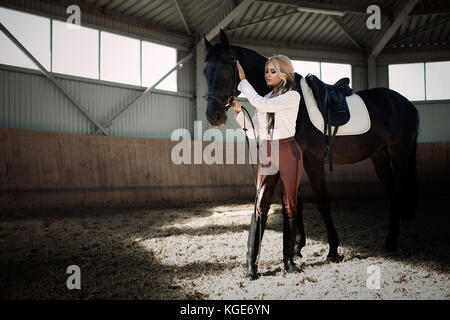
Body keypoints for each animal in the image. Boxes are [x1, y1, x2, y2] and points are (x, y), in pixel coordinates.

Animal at [204, 30, 418, 258]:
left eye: (227, 69)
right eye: (204, 71)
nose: (213, 116)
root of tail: (405, 103)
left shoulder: (312, 160)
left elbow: (322, 200)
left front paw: (333, 248)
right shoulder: (294, 160)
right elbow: (295, 200)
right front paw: (297, 246)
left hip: (399, 154)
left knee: (397, 190)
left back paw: (392, 241)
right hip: (379, 157)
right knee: (391, 192)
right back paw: (389, 240)